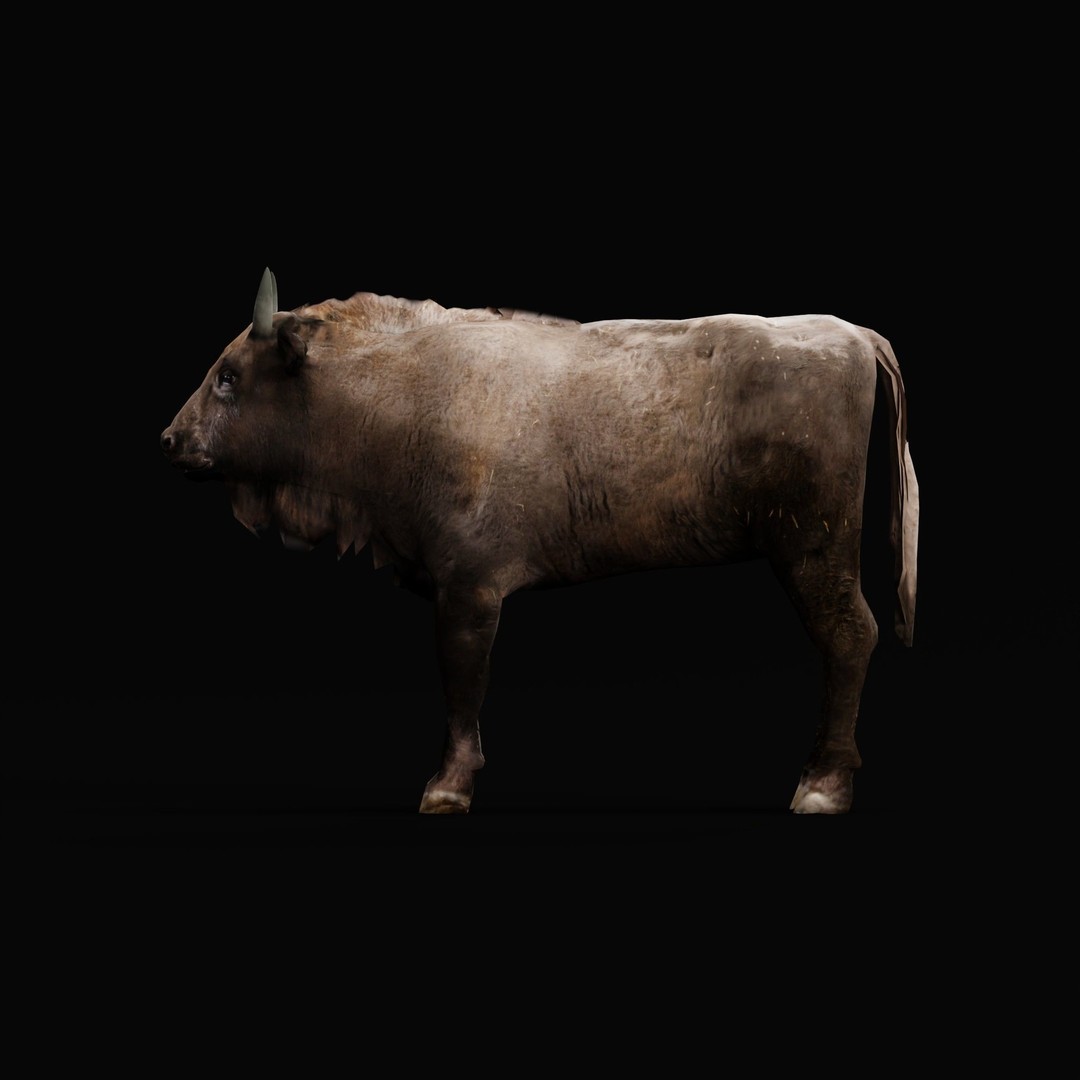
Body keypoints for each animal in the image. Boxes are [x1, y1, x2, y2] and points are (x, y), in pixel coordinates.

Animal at [161, 268, 919, 815]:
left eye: (228, 376)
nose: (170, 439)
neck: (401, 387)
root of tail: (851, 334)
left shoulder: (468, 590)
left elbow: (463, 683)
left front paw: (447, 788)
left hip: (813, 554)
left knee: (851, 636)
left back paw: (820, 788)